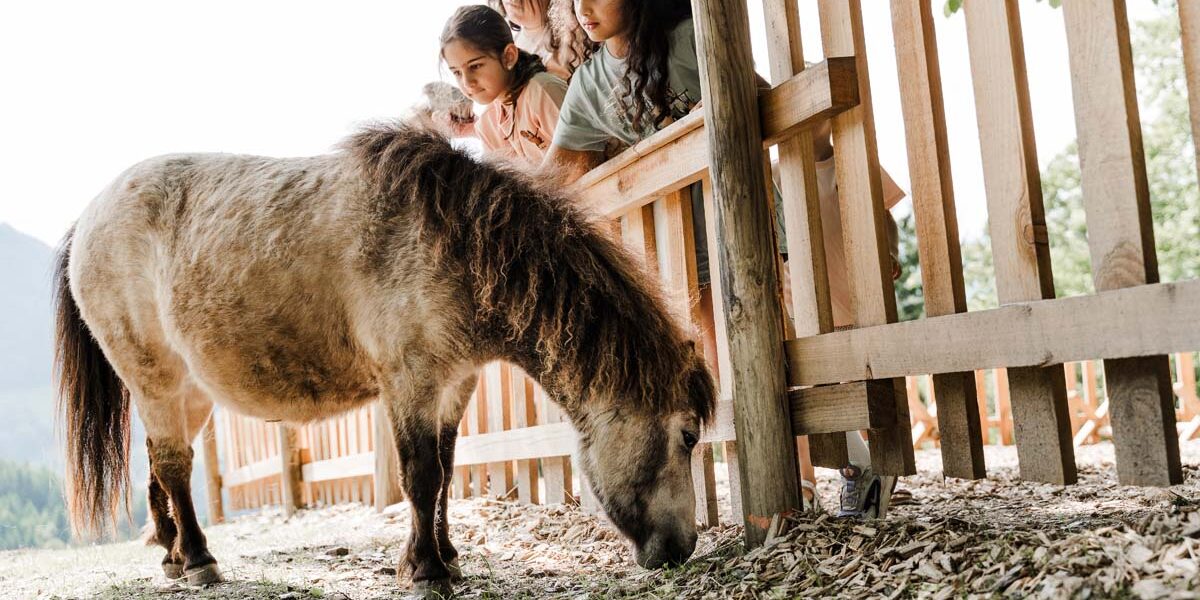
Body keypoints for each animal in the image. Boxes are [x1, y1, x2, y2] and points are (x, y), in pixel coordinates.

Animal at [53, 122, 716, 596]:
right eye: (687, 436)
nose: (682, 548)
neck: (453, 244)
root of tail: (86, 218)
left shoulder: (454, 385)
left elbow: (446, 471)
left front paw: (447, 556)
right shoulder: (411, 384)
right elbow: (421, 476)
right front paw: (426, 570)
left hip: (189, 394)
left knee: (161, 464)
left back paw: (169, 551)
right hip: (158, 380)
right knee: (173, 466)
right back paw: (197, 560)